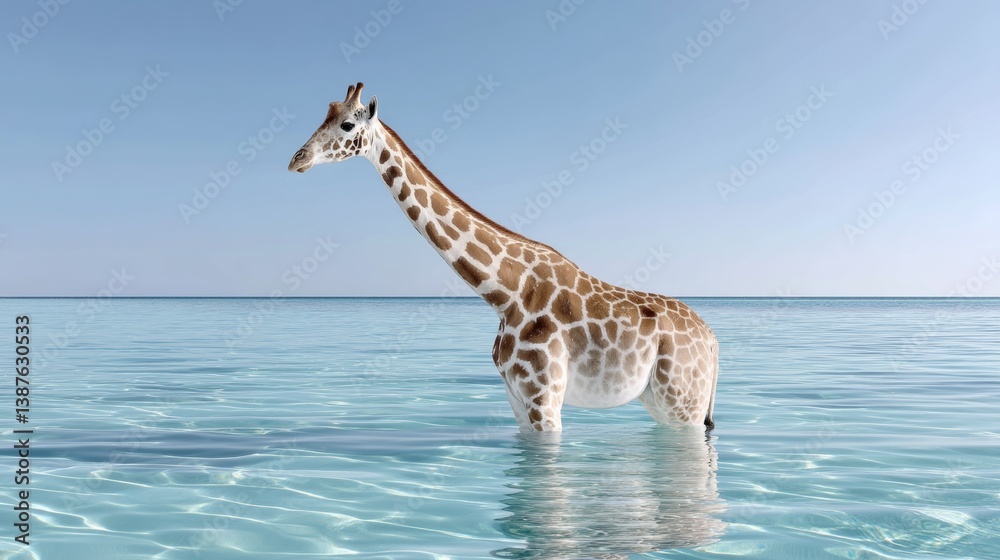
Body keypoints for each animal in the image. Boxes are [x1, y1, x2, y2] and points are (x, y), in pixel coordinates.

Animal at [288, 83, 719, 432]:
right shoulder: (516, 397)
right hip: (663, 403)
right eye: (325, 114)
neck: (504, 292)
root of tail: (713, 341)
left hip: (685, 402)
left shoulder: (545, 397)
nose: (297, 159)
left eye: (347, 124)